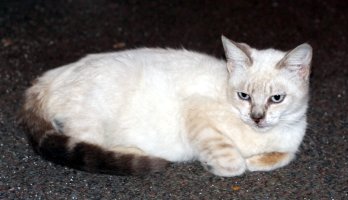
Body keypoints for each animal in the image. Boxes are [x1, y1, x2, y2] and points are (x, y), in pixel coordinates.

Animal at [19, 36, 312, 177]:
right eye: (243, 96)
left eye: (276, 98)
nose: (257, 117)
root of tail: (48, 78)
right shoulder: (194, 111)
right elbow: (233, 162)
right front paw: (218, 164)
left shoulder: (292, 140)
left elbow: (282, 157)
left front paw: (256, 161)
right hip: (96, 119)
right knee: (89, 142)